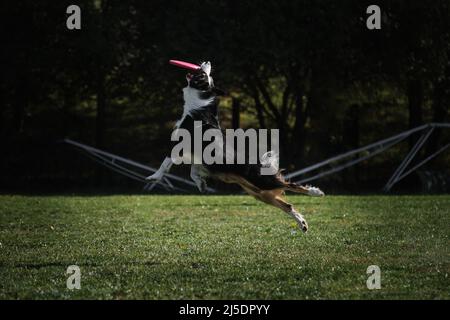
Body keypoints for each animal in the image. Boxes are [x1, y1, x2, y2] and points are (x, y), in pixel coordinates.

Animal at [146, 61, 326, 231]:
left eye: (204, 74)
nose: (207, 62)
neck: (198, 107)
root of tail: (259, 165)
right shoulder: (197, 158)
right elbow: (193, 173)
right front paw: (201, 184)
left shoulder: (179, 145)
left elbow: (165, 164)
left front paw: (153, 177)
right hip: (258, 192)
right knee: (287, 204)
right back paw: (302, 224)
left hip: (261, 182)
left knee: (290, 185)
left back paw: (316, 192)